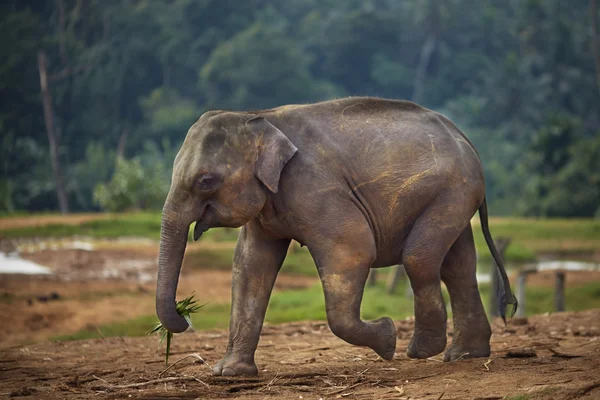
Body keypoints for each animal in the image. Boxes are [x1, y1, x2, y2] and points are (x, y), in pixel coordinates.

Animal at [157, 96, 516, 376]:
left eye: (206, 181)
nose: (184, 316)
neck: (259, 115)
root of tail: (463, 136)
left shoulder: (314, 185)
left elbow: (353, 250)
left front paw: (387, 339)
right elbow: (250, 265)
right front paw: (229, 373)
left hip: (454, 189)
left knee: (420, 258)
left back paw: (422, 351)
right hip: (453, 193)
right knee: (458, 265)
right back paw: (465, 355)